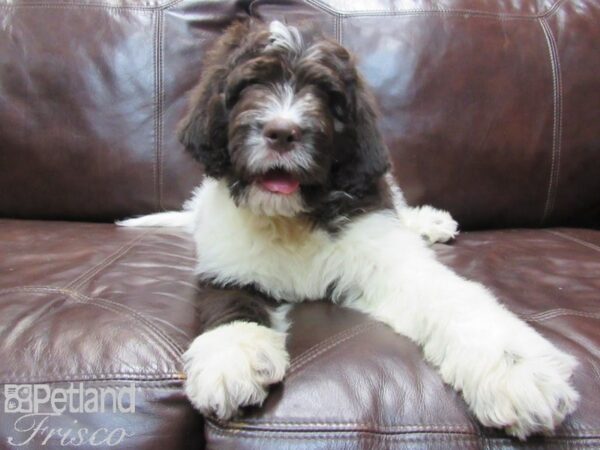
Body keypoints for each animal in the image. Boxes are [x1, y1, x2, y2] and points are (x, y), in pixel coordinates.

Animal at [118, 19, 580, 438]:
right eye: (252, 83)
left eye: (325, 94)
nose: (282, 132)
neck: (292, 216)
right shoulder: (227, 261)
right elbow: (230, 303)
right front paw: (232, 356)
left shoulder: (385, 250)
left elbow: (452, 298)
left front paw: (516, 368)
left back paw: (428, 221)